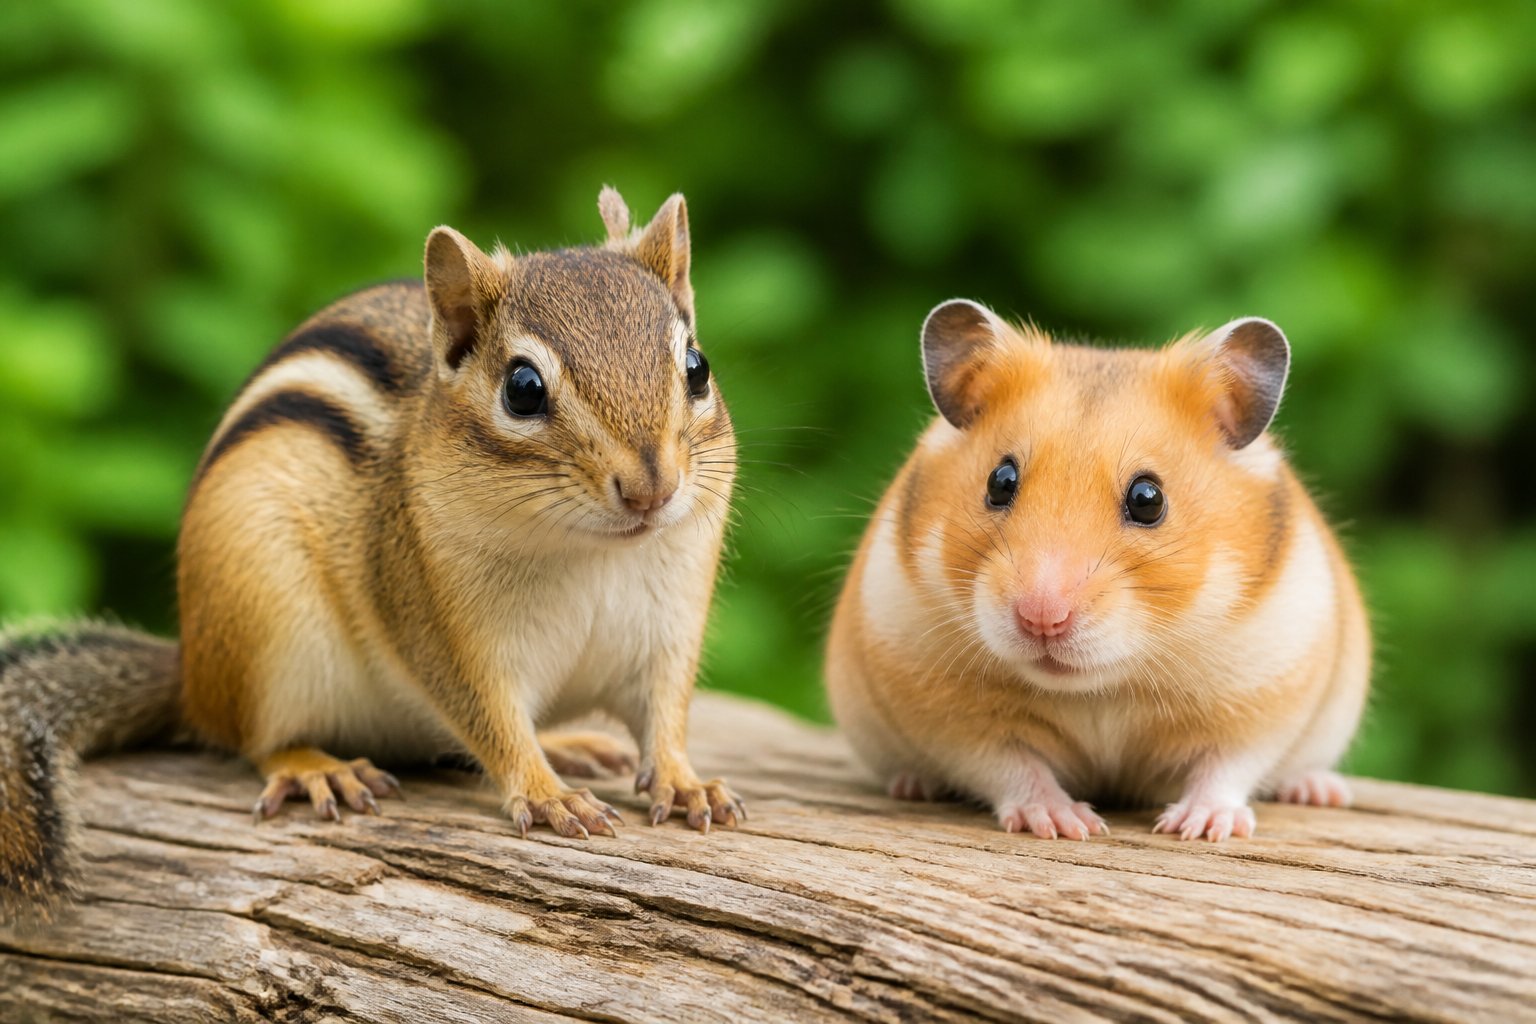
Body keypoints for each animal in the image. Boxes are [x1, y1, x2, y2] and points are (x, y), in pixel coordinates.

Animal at [1, 188, 744, 923]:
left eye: (697, 368)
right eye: (523, 388)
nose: (652, 488)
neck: (593, 554)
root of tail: (191, 673)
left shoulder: (669, 628)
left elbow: (665, 714)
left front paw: (684, 782)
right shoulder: (440, 628)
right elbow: (493, 721)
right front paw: (545, 791)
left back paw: (567, 743)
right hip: (267, 630)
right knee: (252, 739)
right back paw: (317, 768)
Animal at [826, 299, 1370, 842]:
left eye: (1148, 499)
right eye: (1000, 481)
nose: (1041, 618)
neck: (1100, 686)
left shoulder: (1261, 696)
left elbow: (1227, 767)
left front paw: (1197, 827)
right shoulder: (954, 719)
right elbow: (1010, 766)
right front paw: (1067, 824)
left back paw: (1319, 790)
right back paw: (913, 785)